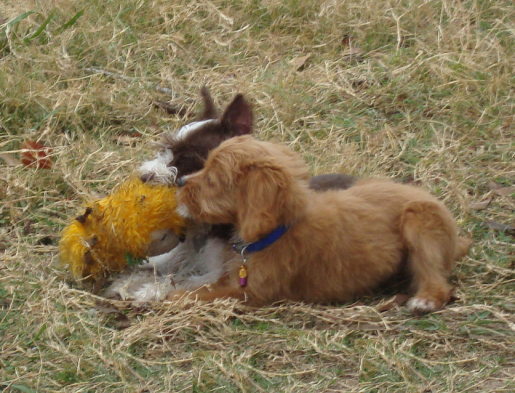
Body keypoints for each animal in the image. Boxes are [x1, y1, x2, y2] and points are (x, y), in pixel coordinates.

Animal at [171, 136, 470, 314]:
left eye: (212, 180)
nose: (179, 182)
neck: (279, 229)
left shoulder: (250, 292)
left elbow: (199, 294)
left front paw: (166, 298)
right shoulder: (232, 279)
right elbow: (202, 285)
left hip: (418, 221)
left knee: (436, 279)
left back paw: (426, 298)